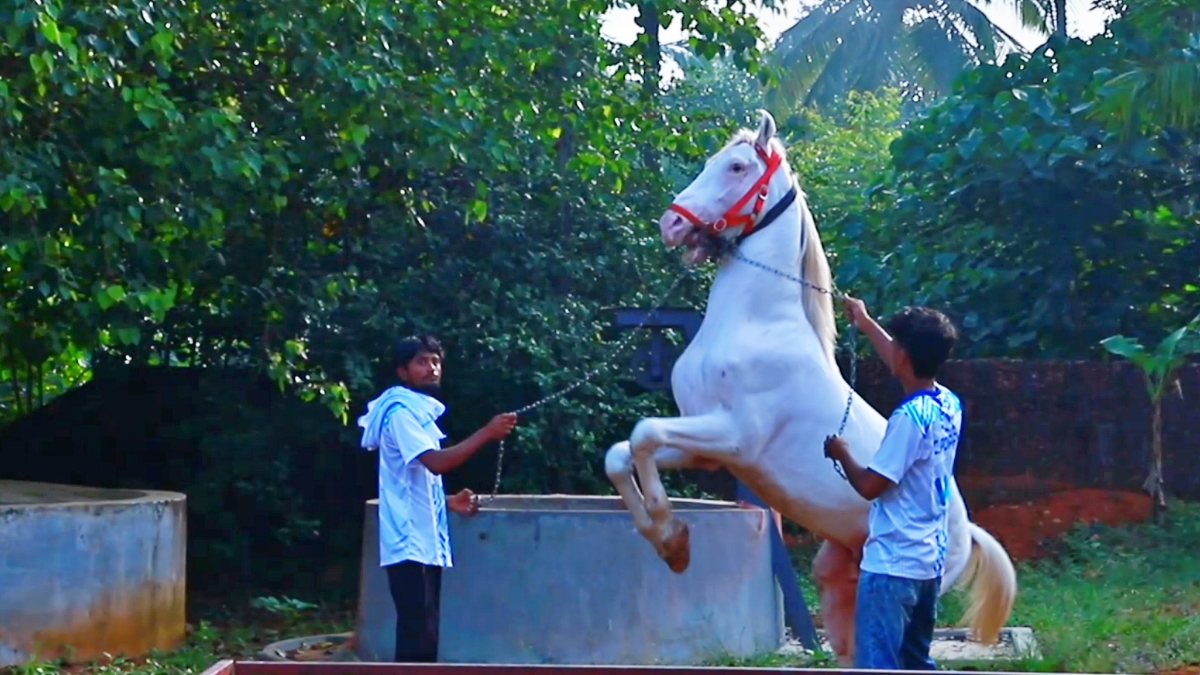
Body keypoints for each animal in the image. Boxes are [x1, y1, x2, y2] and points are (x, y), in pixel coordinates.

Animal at [604, 109, 1017, 662]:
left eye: (736, 166)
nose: (670, 224)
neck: (753, 323)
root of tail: (966, 532)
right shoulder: (707, 449)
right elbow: (623, 452)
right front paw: (669, 542)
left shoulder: (735, 437)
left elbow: (644, 432)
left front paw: (672, 538)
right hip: (837, 580)